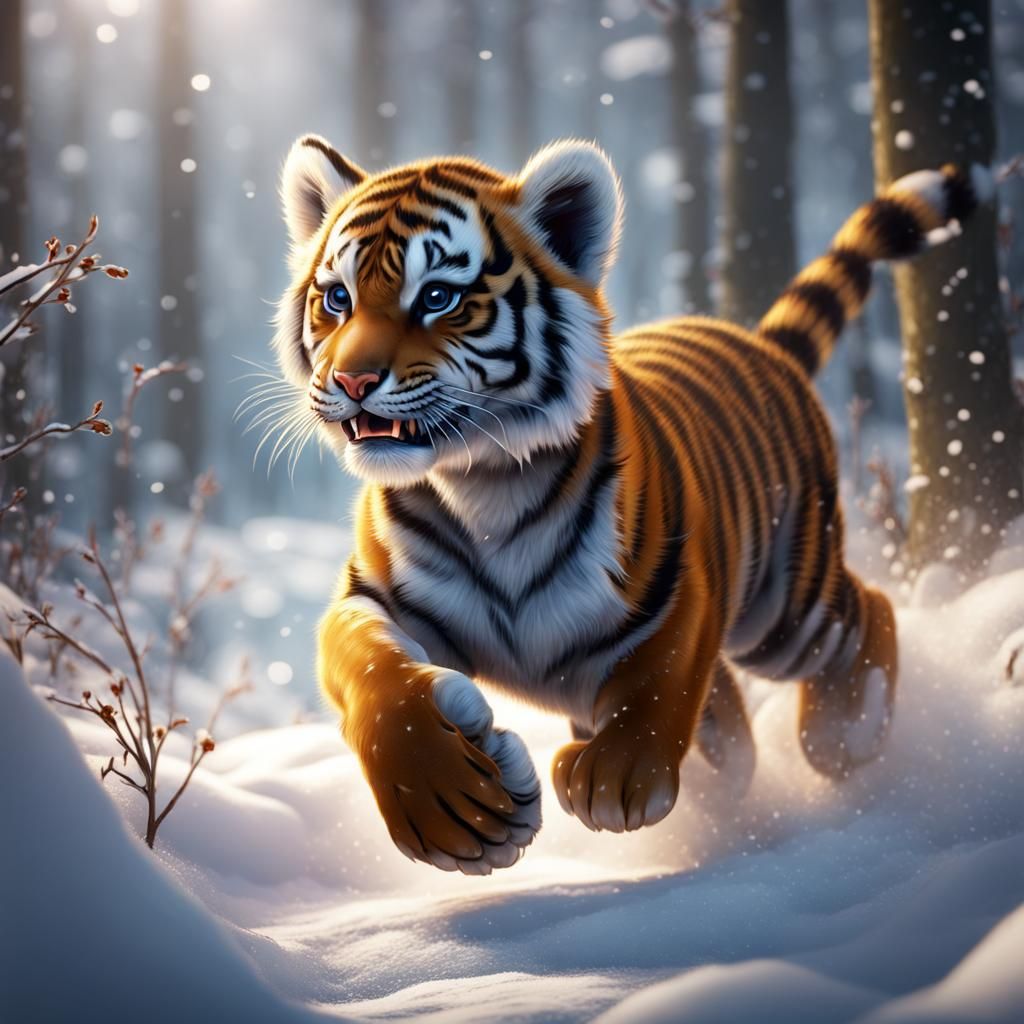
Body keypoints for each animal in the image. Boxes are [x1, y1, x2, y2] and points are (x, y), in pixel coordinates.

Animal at [270, 133, 988, 874]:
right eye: (337, 298)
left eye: (438, 296)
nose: (351, 380)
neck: (482, 486)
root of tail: (760, 341)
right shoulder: (375, 597)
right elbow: (368, 670)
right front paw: (456, 810)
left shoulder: (675, 586)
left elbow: (657, 683)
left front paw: (612, 782)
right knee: (735, 737)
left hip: (784, 608)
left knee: (866, 609)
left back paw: (847, 731)